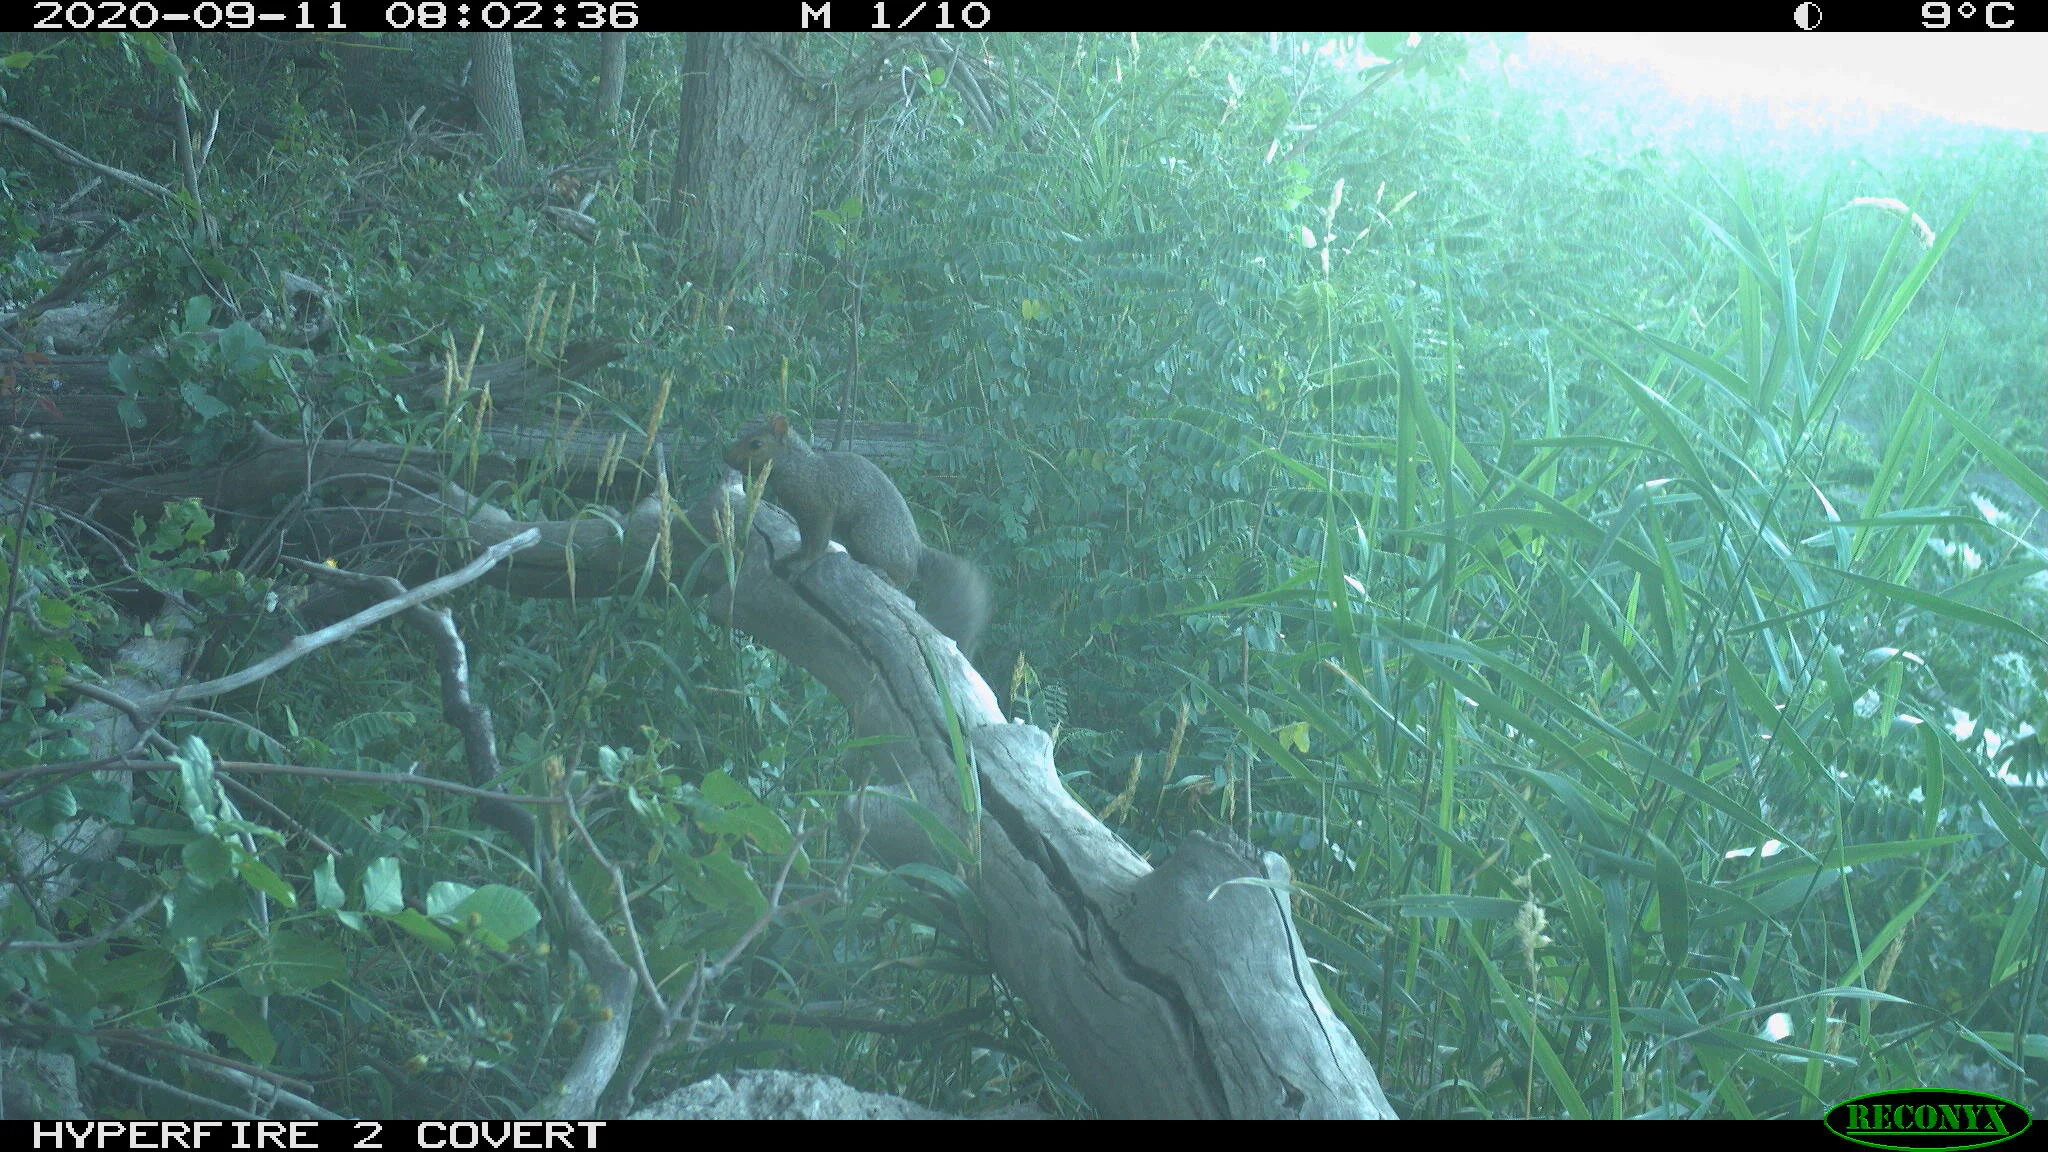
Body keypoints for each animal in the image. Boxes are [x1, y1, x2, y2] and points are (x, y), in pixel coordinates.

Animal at [724, 414, 990, 658]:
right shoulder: (802, 517)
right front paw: (793, 556)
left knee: (903, 580)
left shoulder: (820, 507)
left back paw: (882, 574)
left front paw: (802, 565)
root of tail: (917, 549)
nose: (726, 457)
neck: (798, 467)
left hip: (870, 535)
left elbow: (817, 543)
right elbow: (806, 542)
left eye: (756, 444)